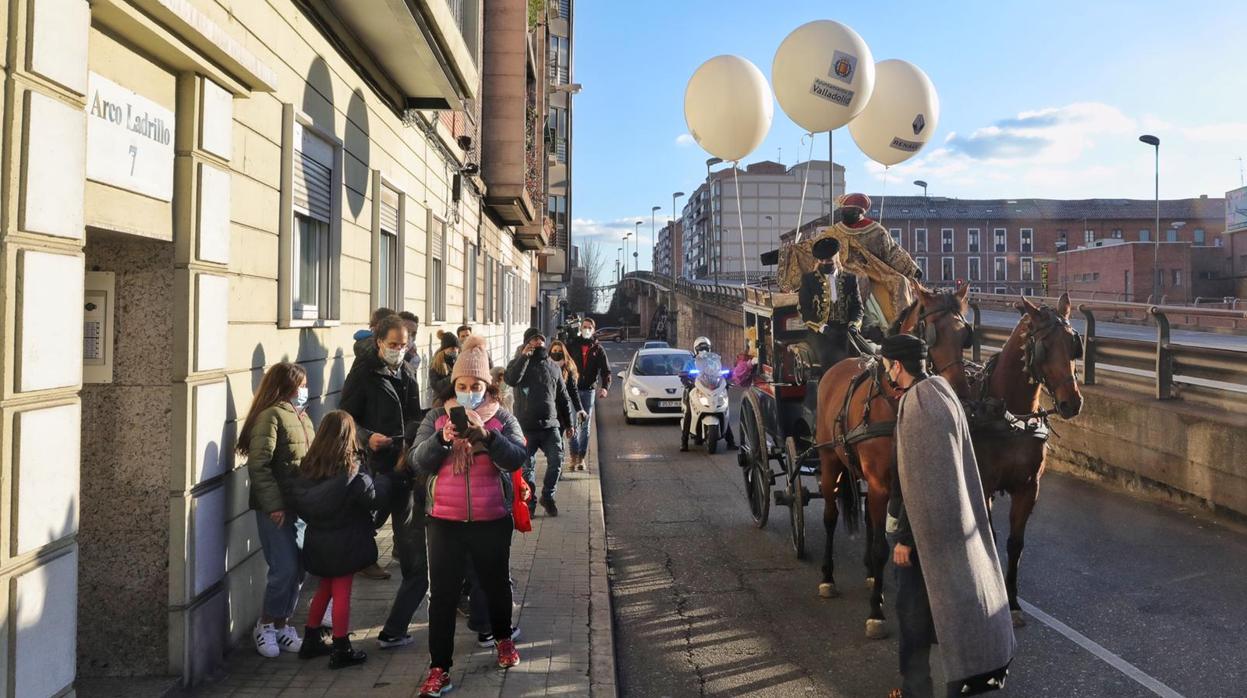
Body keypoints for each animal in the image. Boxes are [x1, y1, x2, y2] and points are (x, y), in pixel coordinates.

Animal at [813, 280, 977, 635]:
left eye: (965, 335)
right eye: (932, 335)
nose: (960, 393)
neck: (895, 400)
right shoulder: (880, 484)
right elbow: (881, 547)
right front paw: (876, 611)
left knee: (869, 523)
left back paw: (869, 574)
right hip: (830, 461)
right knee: (831, 516)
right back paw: (828, 576)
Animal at [967, 292, 1087, 628]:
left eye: (1073, 343)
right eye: (1044, 346)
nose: (1072, 402)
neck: (1010, 417)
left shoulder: (1028, 487)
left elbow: (1015, 544)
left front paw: (1013, 601)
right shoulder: (983, 484)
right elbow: (990, 536)